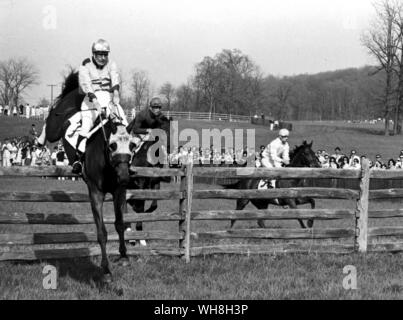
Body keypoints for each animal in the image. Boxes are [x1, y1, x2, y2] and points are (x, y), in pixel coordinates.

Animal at [44, 70, 136, 282]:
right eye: (112, 145)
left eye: (132, 145)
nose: (125, 177)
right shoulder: (95, 193)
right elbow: (101, 232)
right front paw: (106, 269)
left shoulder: (118, 191)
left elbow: (120, 224)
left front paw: (124, 256)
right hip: (56, 124)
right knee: (51, 119)